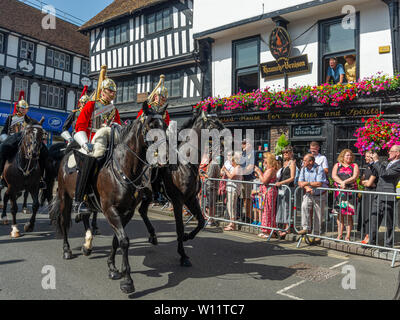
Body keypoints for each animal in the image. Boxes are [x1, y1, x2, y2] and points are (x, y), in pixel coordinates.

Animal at [50, 103, 169, 296]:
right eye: (150, 126)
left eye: (165, 126)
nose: (166, 157)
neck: (125, 169)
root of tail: (68, 152)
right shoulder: (110, 210)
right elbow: (124, 241)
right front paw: (127, 281)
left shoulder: (126, 212)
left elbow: (117, 239)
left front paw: (112, 268)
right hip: (65, 197)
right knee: (63, 220)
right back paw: (67, 250)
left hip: (88, 202)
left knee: (85, 216)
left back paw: (87, 244)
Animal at [138, 106, 225, 266]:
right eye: (214, 123)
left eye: (220, 120)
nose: (230, 139)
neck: (184, 164)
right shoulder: (178, 201)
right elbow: (179, 227)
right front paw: (183, 255)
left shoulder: (191, 199)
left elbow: (201, 221)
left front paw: (186, 237)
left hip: (148, 195)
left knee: (142, 211)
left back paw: (153, 236)